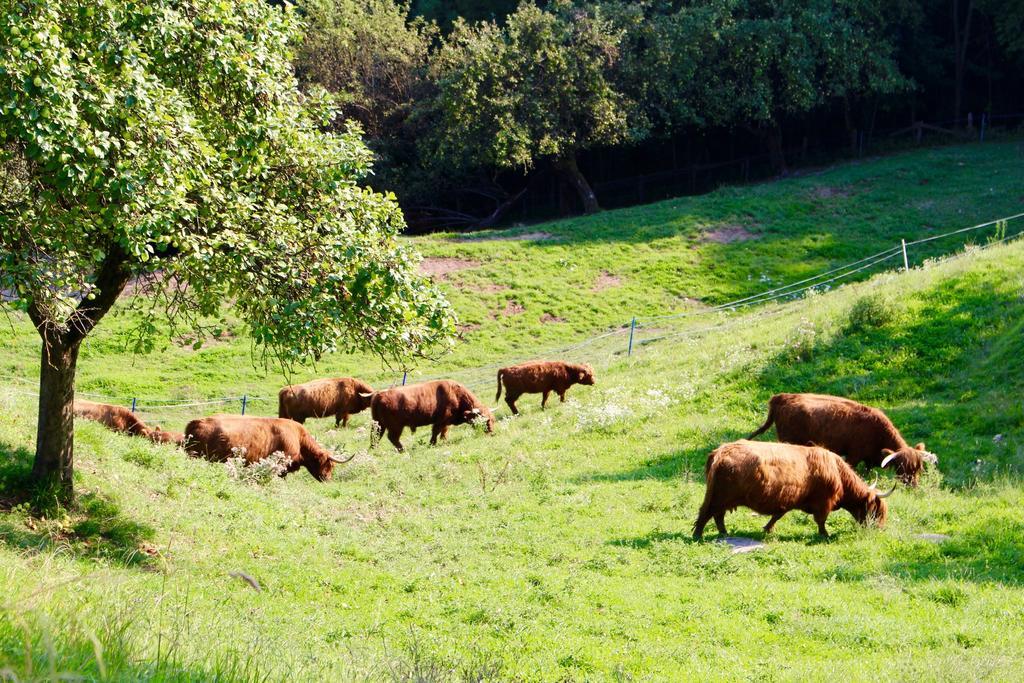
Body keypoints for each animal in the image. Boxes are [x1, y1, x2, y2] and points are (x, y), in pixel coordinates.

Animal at [692, 440, 892, 540]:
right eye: (876, 511)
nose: (879, 530)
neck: (838, 474)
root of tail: (722, 451)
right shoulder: (823, 502)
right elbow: (821, 520)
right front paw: (825, 535)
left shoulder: (788, 500)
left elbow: (778, 515)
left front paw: (767, 529)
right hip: (719, 496)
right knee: (707, 513)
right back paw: (698, 535)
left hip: (722, 498)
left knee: (717, 515)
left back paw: (724, 533)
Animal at [745, 395, 937, 485]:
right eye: (901, 467)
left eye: (919, 468)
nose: (912, 485)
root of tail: (781, 397)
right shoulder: (854, 455)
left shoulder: (868, 459)